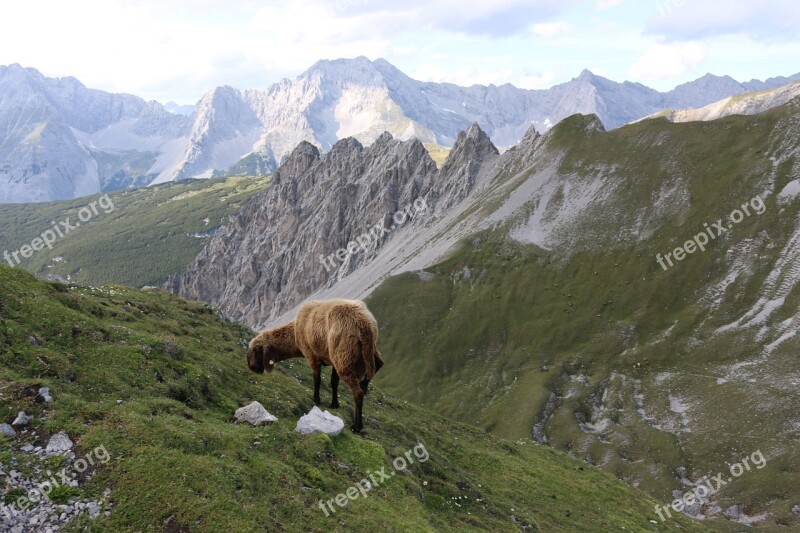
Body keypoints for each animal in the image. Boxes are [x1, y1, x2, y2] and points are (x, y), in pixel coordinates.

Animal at [248, 300, 386, 432]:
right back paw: (364, 385)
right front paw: (334, 404)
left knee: (358, 393)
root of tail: (365, 326)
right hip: (357, 353)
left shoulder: (312, 356)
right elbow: (334, 382)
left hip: (344, 357)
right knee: (378, 364)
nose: (251, 368)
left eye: (255, 351)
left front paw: (316, 399)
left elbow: (317, 379)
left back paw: (357, 426)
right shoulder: (332, 359)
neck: (295, 334)